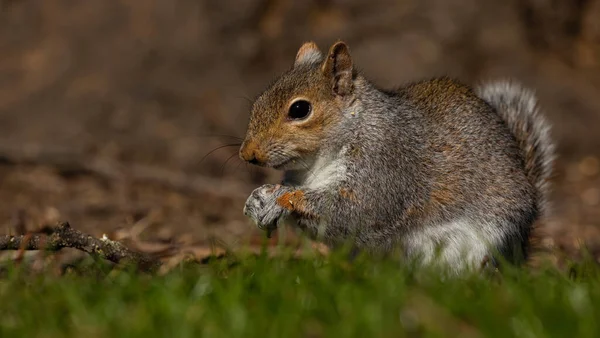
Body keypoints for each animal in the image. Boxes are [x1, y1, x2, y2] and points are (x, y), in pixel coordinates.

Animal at [237, 41, 556, 274]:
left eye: (300, 109)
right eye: (260, 99)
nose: (247, 154)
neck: (318, 164)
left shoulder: (386, 166)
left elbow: (354, 210)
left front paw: (285, 197)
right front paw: (259, 200)